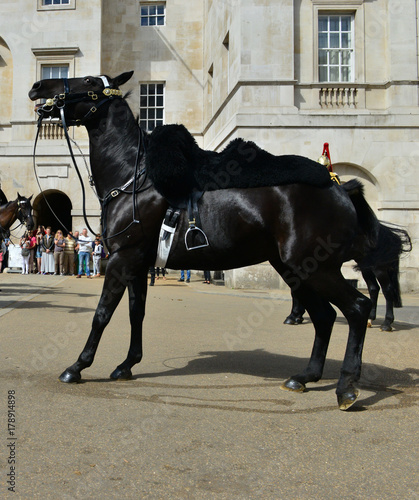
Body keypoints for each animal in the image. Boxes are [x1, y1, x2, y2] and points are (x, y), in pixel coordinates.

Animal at [29, 71, 394, 410]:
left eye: (90, 80)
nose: (39, 87)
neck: (134, 176)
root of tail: (338, 184)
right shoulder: (139, 264)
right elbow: (136, 313)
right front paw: (127, 364)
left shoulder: (123, 258)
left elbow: (102, 313)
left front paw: (78, 366)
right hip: (295, 269)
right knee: (325, 316)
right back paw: (305, 377)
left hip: (317, 269)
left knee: (357, 308)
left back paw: (346, 386)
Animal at [286, 224, 414, 332]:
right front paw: (297, 315)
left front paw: (294, 315)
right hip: (366, 266)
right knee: (374, 288)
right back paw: (370, 319)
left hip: (379, 269)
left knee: (387, 290)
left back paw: (386, 323)